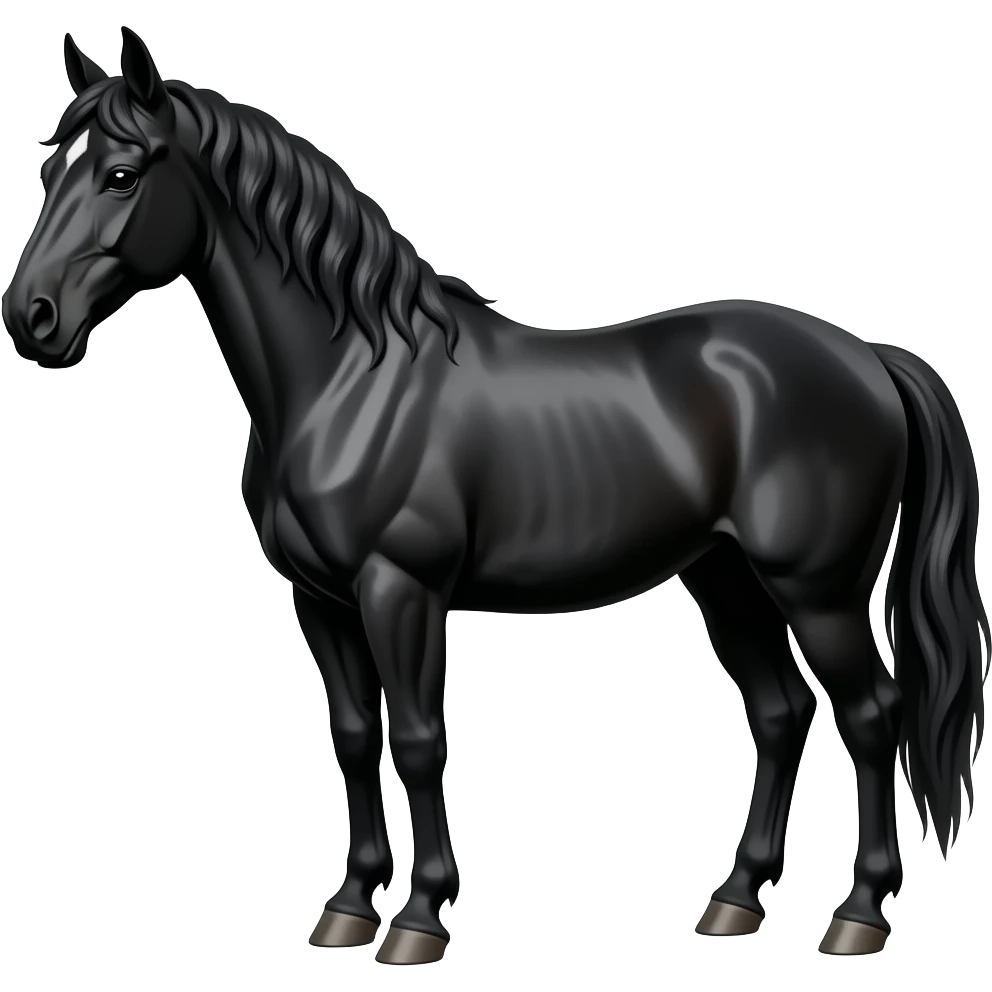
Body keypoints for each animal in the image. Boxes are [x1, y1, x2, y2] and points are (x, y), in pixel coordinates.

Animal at [3, 28, 988, 965]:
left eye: (122, 174)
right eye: (49, 169)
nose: (31, 318)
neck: (351, 380)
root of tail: (868, 358)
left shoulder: (401, 590)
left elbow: (418, 740)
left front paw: (418, 921)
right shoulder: (320, 601)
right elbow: (354, 739)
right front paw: (347, 909)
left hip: (817, 592)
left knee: (872, 716)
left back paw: (858, 917)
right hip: (727, 580)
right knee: (781, 714)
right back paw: (735, 902)